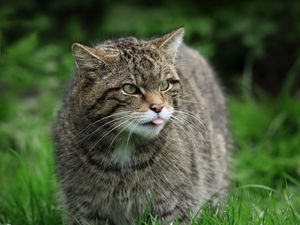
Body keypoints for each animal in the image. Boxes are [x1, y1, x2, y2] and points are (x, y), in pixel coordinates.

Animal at [54, 27, 231, 224]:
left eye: (164, 85)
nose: (158, 107)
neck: (125, 147)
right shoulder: (84, 208)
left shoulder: (173, 206)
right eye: (130, 88)